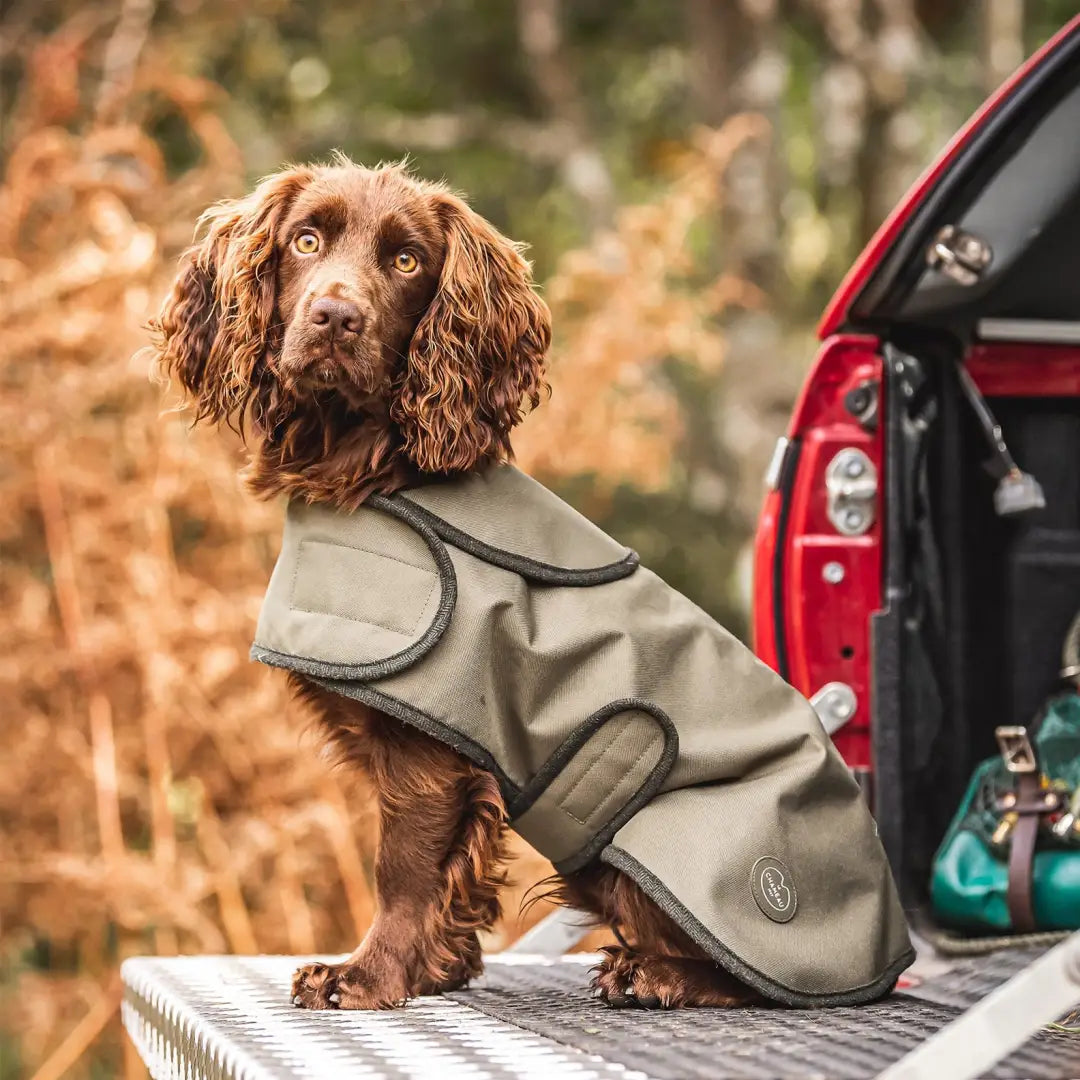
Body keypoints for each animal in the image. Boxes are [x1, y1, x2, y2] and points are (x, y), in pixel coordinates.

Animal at [152, 157, 764, 1010]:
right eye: (306, 240)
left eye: (408, 261)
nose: (335, 317)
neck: (374, 473)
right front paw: (437, 970)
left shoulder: (426, 755)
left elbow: (402, 871)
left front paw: (366, 977)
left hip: (634, 842)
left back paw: (653, 973)